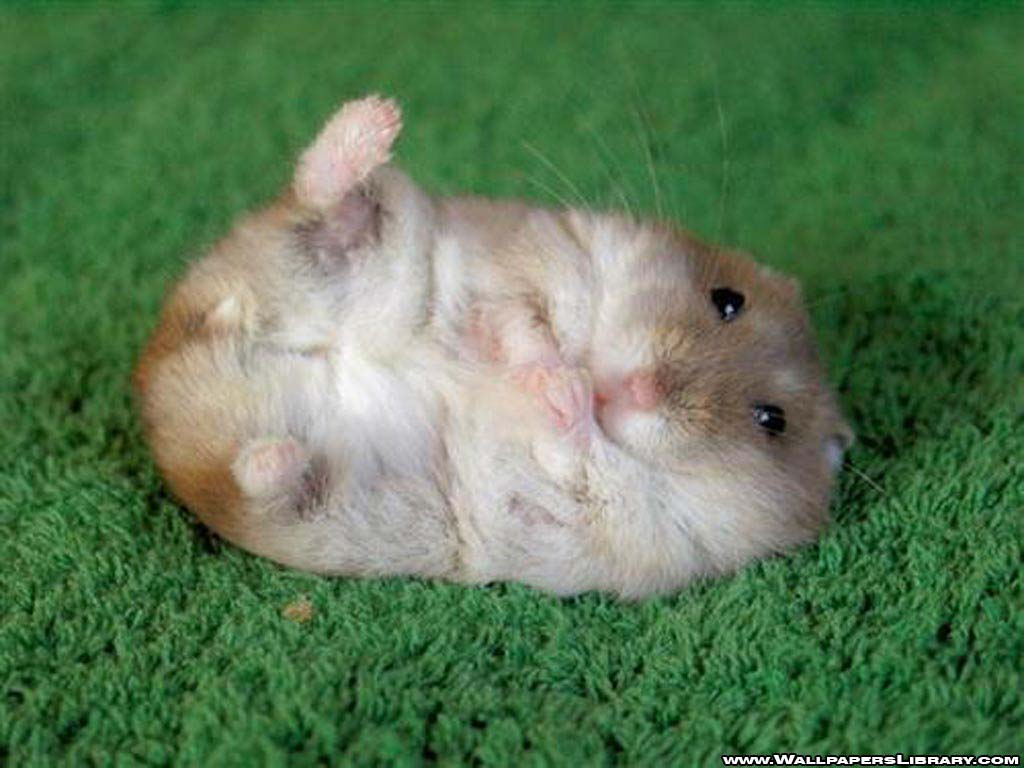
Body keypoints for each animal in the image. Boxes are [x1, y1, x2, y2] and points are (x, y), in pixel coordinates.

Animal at [134, 96, 851, 598]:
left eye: (771, 420)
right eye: (727, 299)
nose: (635, 389)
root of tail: (167, 363)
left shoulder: (632, 522)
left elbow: (575, 449)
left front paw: (558, 390)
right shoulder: (539, 258)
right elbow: (522, 322)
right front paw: (543, 369)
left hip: (301, 504)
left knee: (257, 478)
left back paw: (280, 454)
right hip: (360, 249)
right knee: (322, 200)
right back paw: (375, 121)